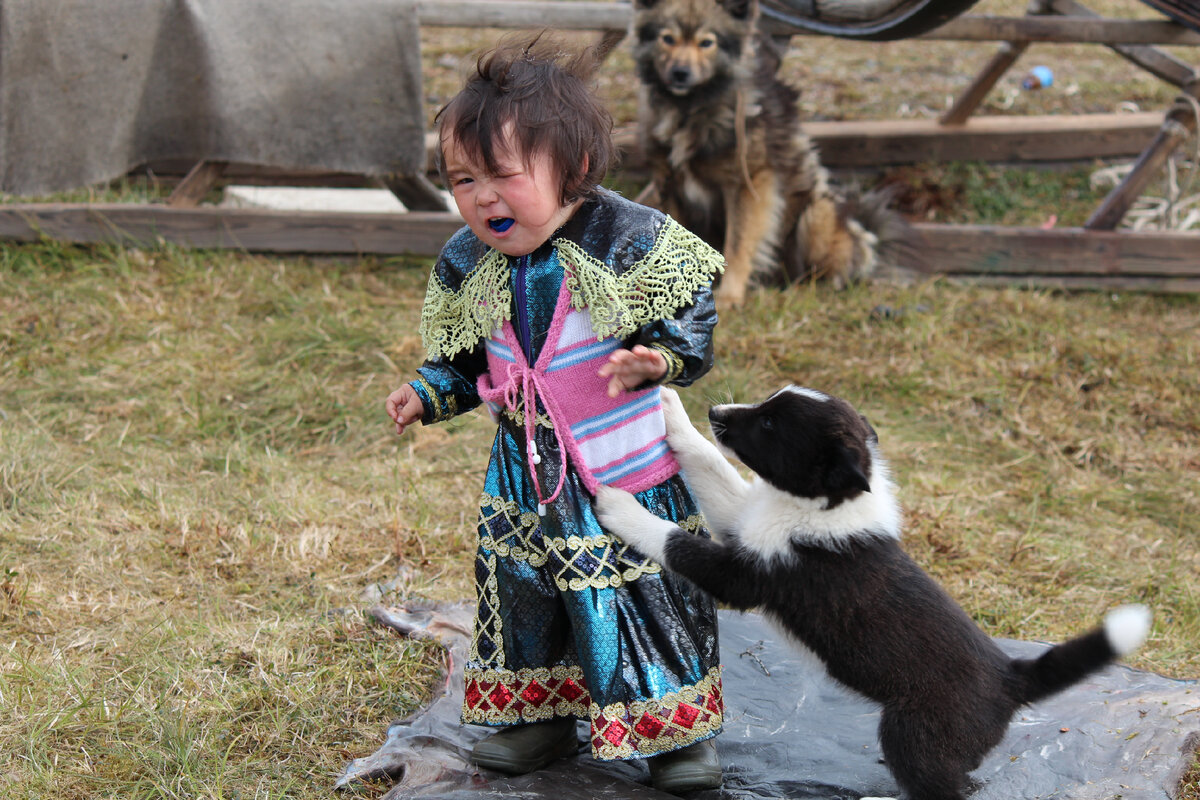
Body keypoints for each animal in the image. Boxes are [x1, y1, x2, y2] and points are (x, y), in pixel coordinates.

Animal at [595, 388, 1147, 800]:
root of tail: (1010, 677)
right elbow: (713, 467)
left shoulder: (745, 575)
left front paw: (618, 507)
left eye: (770, 425)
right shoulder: (744, 520)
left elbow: (674, 540)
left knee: (942, 789)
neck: (825, 502)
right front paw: (671, 411)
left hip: (915, 733)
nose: (715, 413)